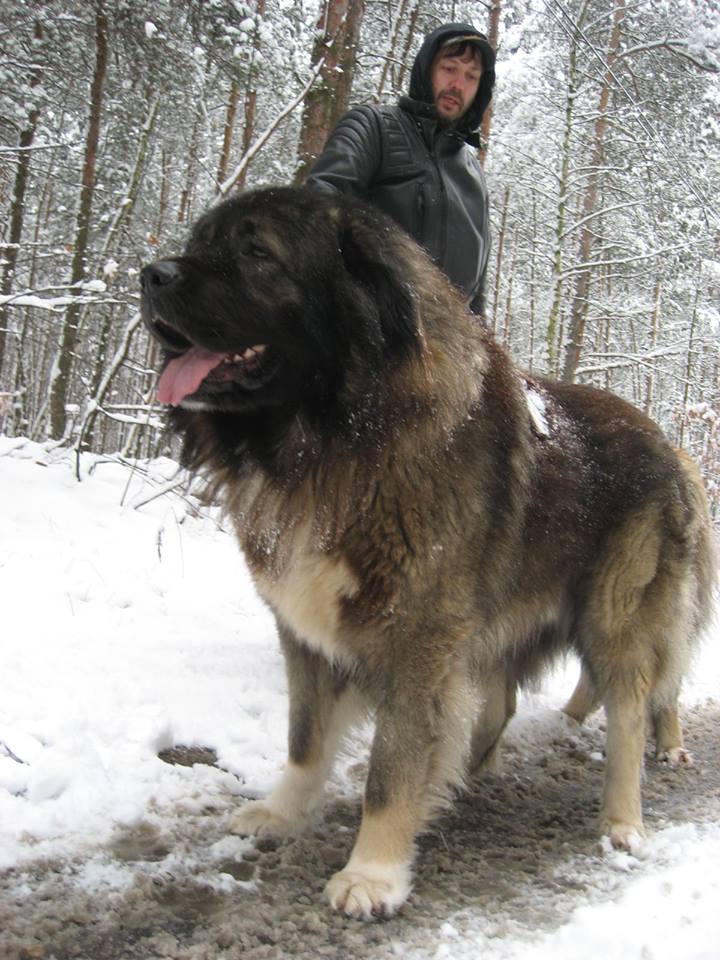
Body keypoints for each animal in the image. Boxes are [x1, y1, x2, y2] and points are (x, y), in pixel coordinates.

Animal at [141, 186, 716, 916]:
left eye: (255, 252)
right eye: (200, 242)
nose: (151, 276)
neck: (336, 442)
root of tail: (666, 441)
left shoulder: (419, 637)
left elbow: (393, 767)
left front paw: (373, 871)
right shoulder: (307, 633)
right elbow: (306, 737)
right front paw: (284, 812)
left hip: (616, 618)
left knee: (631, 716)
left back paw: (622, 821)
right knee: (504, 705)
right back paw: (469, 775)